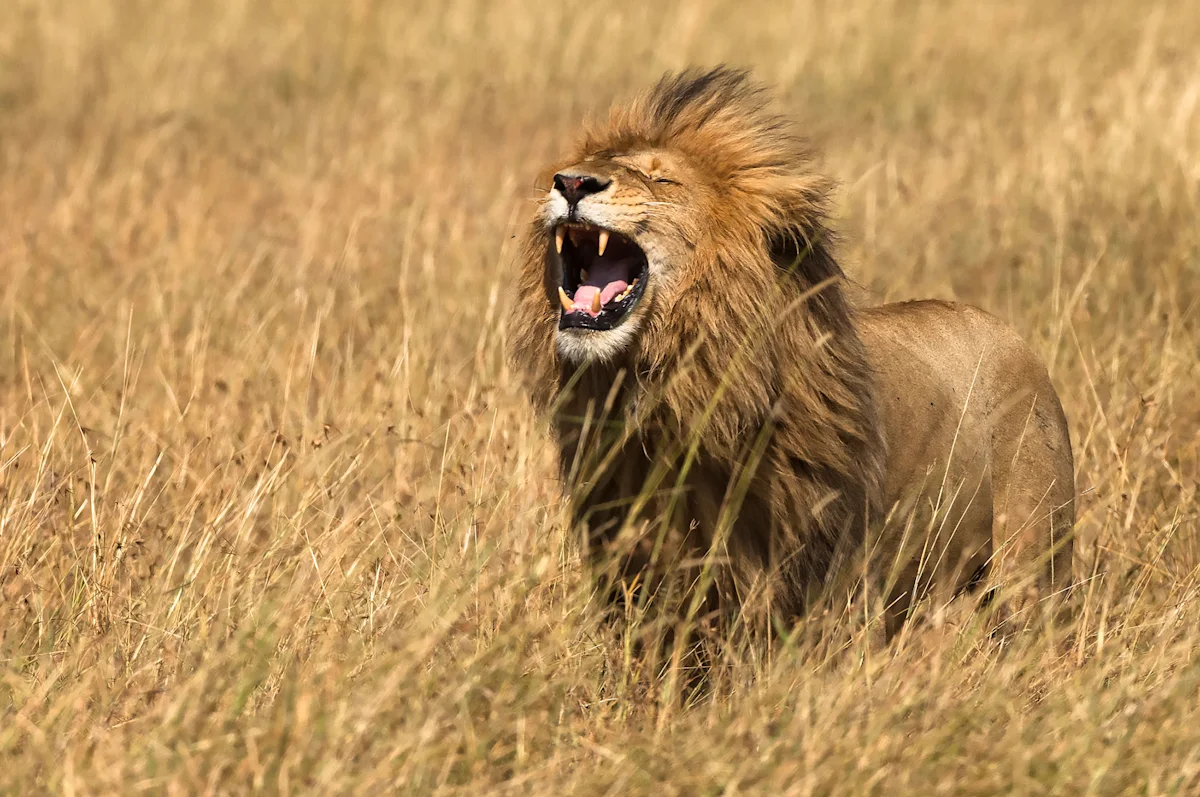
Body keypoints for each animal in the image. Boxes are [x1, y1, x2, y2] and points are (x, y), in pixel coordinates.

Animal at [509, 66, 1074, 644]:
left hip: (1034, 564)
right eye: (582, 168)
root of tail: (1008, 331)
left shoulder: (825, 574)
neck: (668, 391)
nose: (571, 183)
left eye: (663, 181)